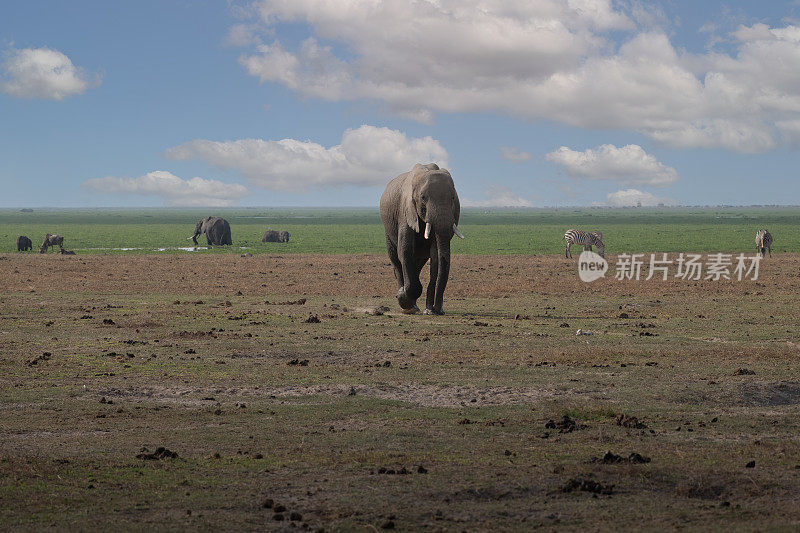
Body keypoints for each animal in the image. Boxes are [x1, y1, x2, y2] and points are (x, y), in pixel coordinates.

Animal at [380, 160, 466, 314]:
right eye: (423, 198)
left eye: (453, 198)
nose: (439, 310)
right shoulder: (405, 210)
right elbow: (405, 250)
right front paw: (404, 300)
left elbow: (435, 256)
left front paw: (430, 311)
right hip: (388, 231)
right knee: (396, 261)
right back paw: (407, 303)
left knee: (419, 264)